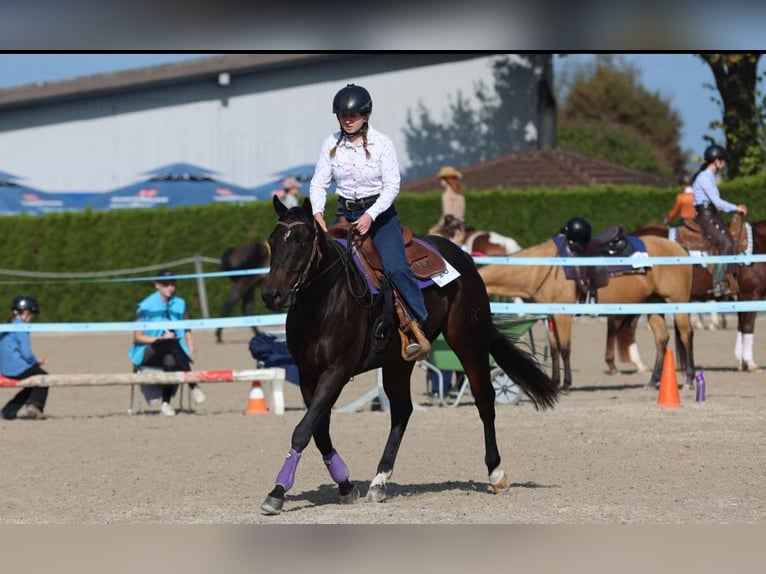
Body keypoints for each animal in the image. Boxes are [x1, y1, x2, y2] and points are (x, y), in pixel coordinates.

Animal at [258, 197, 559, 515]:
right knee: (402, 411)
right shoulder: (308, 374)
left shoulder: (337, 372)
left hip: (469, 342)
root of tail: (461, 256)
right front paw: (346, 485)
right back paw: (379, 481)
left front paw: (277, 492)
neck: (324, 301)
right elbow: (319, 430)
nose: (271, 295)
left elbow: (303, 430)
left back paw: (496, 474)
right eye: (272, 241)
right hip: (397, 363)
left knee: (485, 400)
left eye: (302, 242)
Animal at [478, 234, 696, 391]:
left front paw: (566, 384)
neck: (540, 270)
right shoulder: (551, 316)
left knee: (686, 335)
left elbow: (565, 348)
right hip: (654, 305)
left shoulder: (562, 315)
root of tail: (679, 247)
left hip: (677, 303)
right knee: (662, 339)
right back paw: (652, 382)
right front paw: (555, 382)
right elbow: (554, 349)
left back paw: (690, 380)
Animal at [608, 215, 766, 373]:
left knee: (626, 326)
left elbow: (741, 327)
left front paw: (741, 362)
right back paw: (617, 365)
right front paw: (750, 363)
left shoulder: (741, 298)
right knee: (620, 324)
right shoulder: (750, 294)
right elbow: (748, 327)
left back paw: (638, 365)